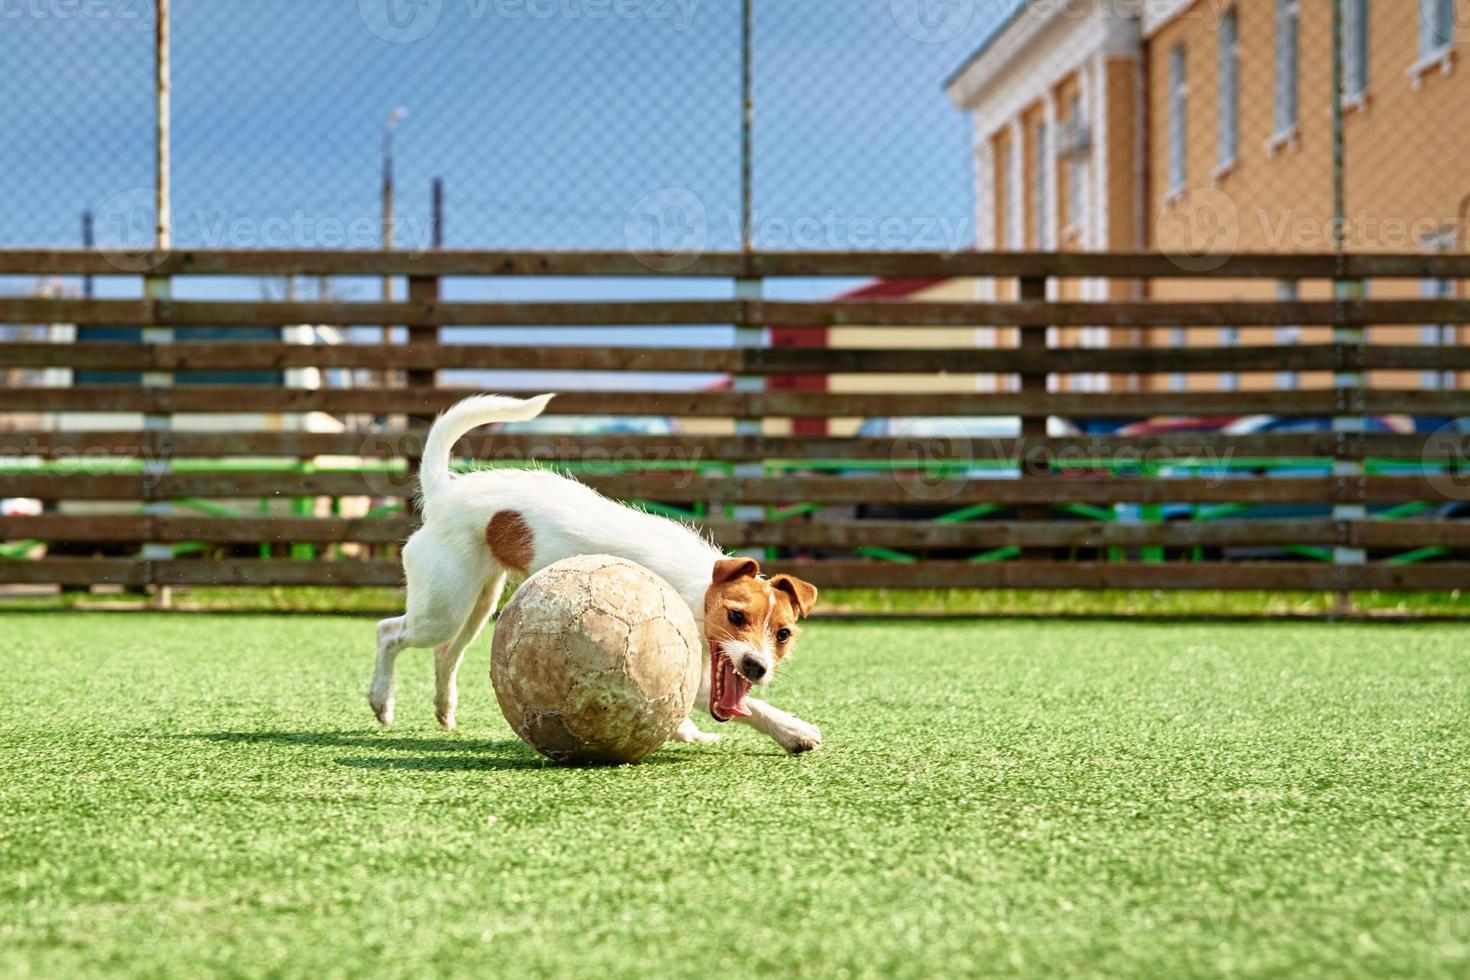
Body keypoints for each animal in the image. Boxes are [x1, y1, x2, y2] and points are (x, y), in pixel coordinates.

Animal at [366, 393, 823, 758]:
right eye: (735, 616)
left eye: (783, 635)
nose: (757, 668)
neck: (698, 590)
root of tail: (444, 491)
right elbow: (751, 708)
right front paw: (794, 730)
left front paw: (686, 732)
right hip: (442, 606)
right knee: (389, 633)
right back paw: (382, 700)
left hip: (477, 603)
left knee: (445, 654)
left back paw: (444, 710)